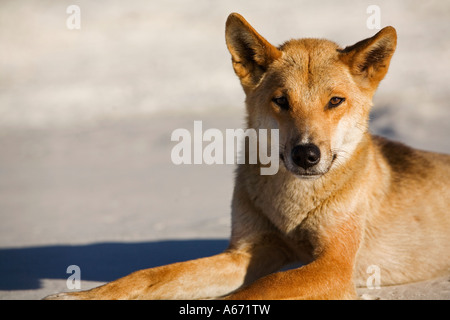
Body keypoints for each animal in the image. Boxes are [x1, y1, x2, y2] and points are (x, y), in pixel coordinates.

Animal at [43, 11, 450, 298]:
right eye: (281, 101)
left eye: (335, 101)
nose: (306, 154)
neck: (292, 204)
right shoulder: (250, 251)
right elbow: (154, 275)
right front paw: (82, 295)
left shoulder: (334, 265)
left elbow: (263, 287)